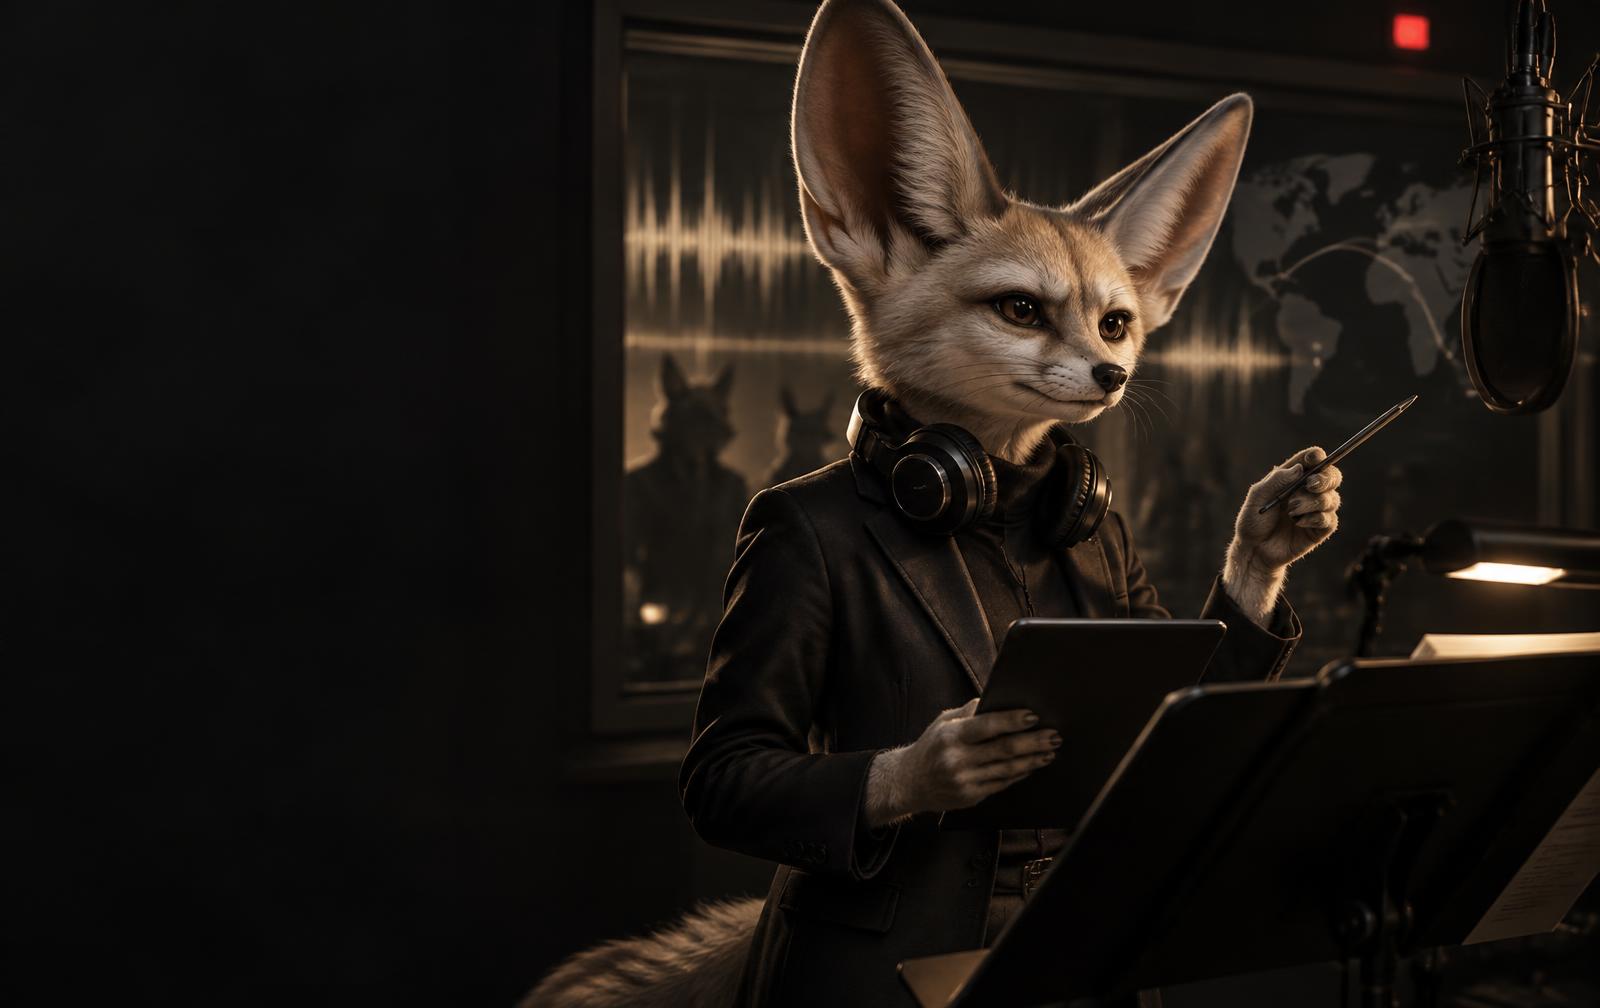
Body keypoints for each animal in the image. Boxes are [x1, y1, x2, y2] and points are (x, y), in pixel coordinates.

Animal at [529, 0, 1342, 1004]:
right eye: (1021, 310)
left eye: (1116, 322)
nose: (1114, 374)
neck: (995, 500)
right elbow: (743, 757)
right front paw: (940, 766)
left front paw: (1273, 531)